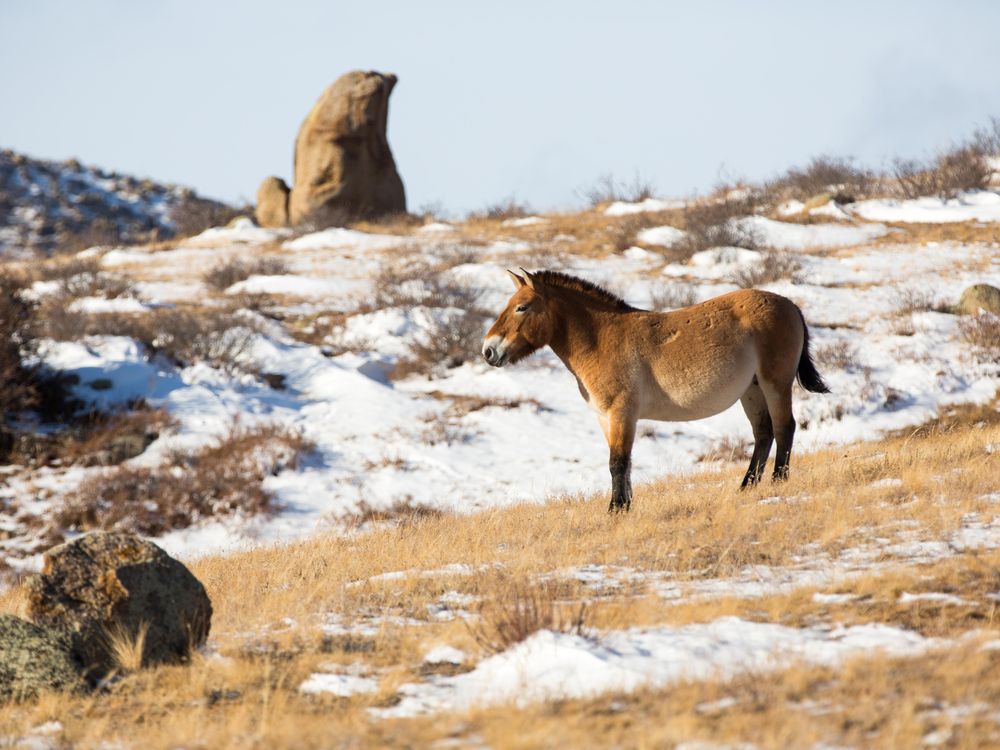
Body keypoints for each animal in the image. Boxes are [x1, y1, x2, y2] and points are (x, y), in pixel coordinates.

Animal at [484, 268, 828, 516]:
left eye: (521, 307)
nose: (488, 351)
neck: (601, 339)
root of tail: (790, 305)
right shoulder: (605, 418)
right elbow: (623, 463)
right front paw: (625, 506)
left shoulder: (622, 413)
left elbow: (617, 462)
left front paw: (615, 510)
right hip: (752, 391)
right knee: (763, 434)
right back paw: (746, 488)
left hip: (775, 384)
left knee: (784, 428)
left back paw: (778, 483)